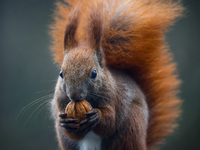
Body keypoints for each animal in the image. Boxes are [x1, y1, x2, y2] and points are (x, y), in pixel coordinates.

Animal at [49, 0, 183, 150]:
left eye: (94, 73)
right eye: (61, 73)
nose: (74, 95)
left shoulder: (113, 96)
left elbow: (110, 122)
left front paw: (96, 117)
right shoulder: (60, 101)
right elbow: (72, 134)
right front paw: (65, 122)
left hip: (129, 130)